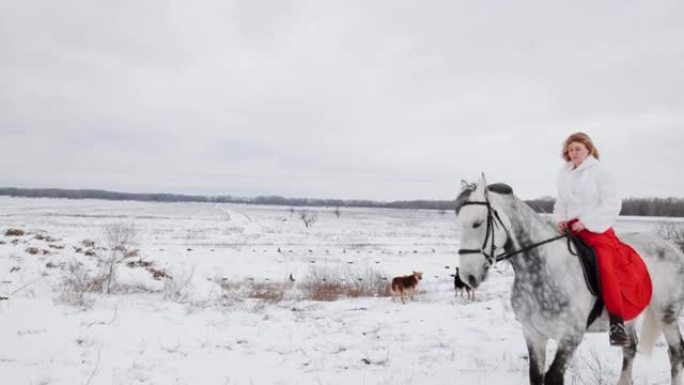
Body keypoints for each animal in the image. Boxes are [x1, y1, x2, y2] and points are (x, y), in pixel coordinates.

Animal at [454, 177, 684, 384]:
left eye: (477, 223)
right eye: (460, 224)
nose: (468, 276)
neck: (545, 270)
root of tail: (674, 249)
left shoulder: (570, 337)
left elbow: (553, 377)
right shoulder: (533, 334)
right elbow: (536, 376)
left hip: (667, 314)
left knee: (676, 353)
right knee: (630, 349)